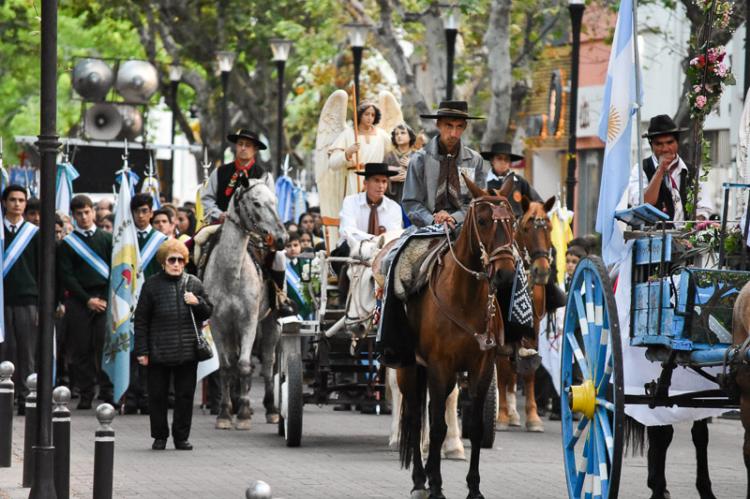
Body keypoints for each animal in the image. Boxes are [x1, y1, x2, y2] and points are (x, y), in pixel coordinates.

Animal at [203, 179, 288, 430]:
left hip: (270, 324)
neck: (231, 275)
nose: (282, 238)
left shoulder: (248, 322)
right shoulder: (218, 324)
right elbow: (225, 367)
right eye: (256, 203)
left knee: (267, 364)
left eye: (275, 201)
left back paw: (269, 409)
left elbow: (243, 365)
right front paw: (225, 413)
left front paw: (242, 415)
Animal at [346, 236, 464, 458]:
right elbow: (401, 387)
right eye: (349, 276)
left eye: (371, 280)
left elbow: (450, 393)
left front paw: (453, 444)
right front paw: (403, 437)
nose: (355, 326)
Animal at [400, 180, 524, 499]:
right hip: (409, 368)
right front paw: (436, 485)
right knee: (416, 417)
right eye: (482, 221)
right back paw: (419, 480)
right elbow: (436, 426)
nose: (505, 274)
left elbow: (476, 428)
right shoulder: (439, 366)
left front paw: (474, 487)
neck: (465, 298)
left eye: (512, 221)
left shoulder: (481, 367)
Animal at [496, 197, 556, 432]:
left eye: (549, 227)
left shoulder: (533, 326)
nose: (542, 271)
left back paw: (514, 413)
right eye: (526, 229)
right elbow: (503, 369)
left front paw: (533, 417)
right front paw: (502, 416)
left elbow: (529, 370)